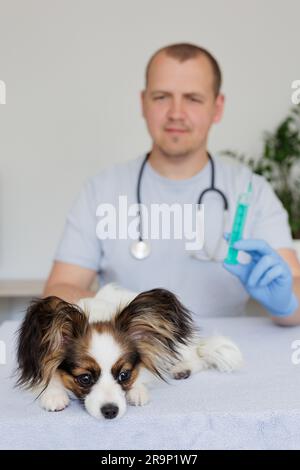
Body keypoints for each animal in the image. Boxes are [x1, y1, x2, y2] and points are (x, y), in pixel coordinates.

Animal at [16, 284, 243, 420]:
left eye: (124, 375)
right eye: (85, 379)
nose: (110, 411)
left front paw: (138, 391)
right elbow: (48, 374)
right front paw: (53, 394)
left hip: (179, 345)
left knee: (198, 358)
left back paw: (182, 368)